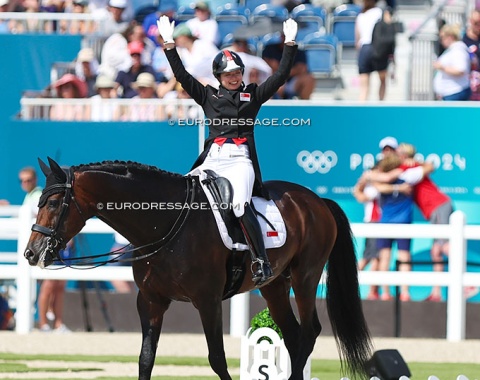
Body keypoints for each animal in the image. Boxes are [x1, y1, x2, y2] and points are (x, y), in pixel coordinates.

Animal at [25, 157, 372, 380]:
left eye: (53, 204)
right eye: (39, 202)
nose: (32, 252)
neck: (164, 222)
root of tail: (316, 199)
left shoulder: (208, 301)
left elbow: (217, 359)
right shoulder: (150, 302)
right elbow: (145, 359)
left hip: (305, 277)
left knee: (309, 331)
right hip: (274, 286)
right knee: (294, 335)